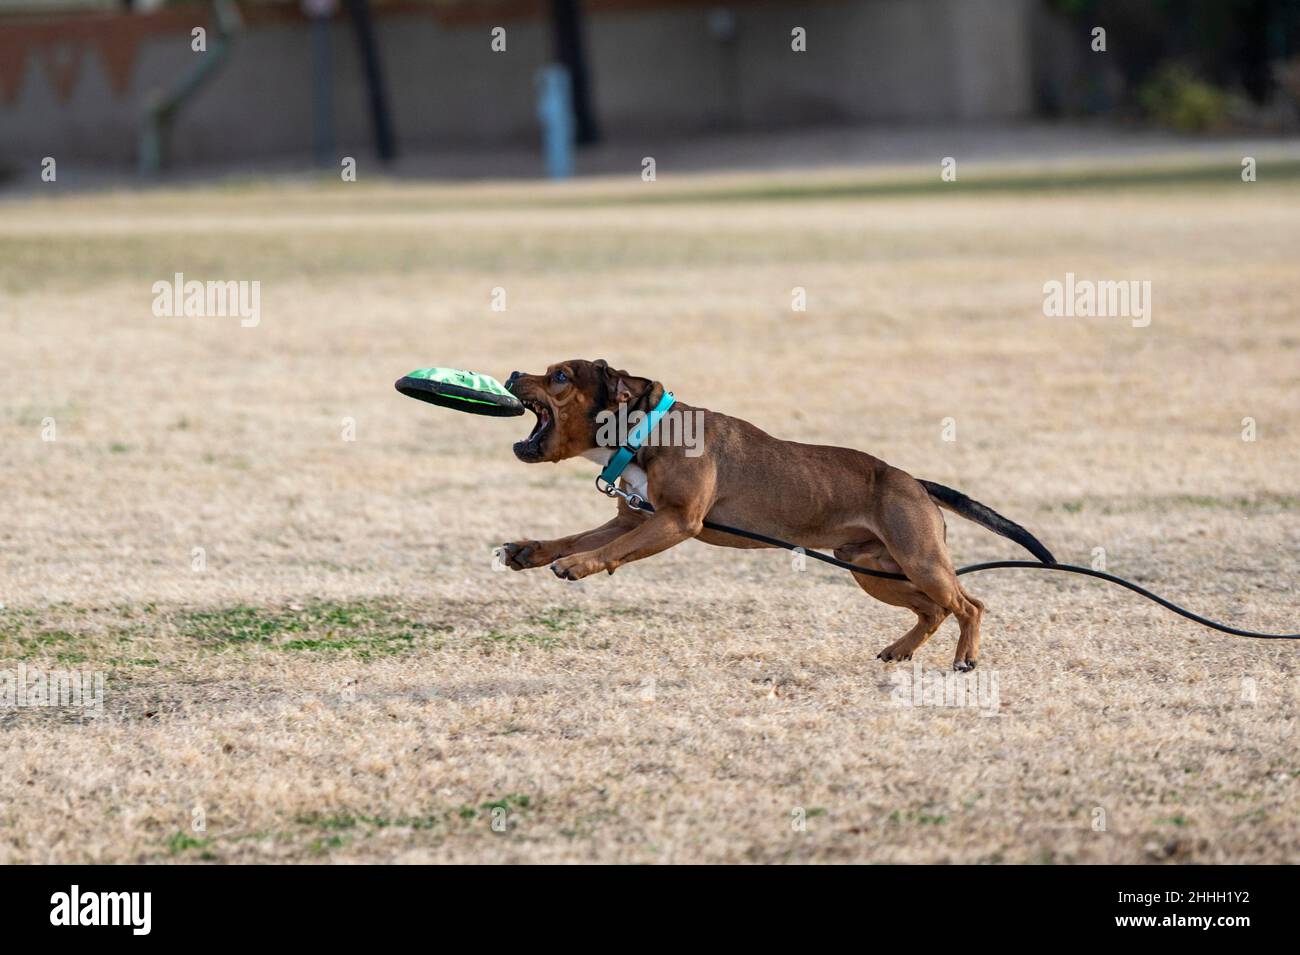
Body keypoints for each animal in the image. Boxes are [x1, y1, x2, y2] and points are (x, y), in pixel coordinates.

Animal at [499, 361, 1055, 670]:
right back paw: (900, 650)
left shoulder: (675, 522)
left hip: (919, 561)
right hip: (871, 568)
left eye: (560, 376)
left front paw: (578, 567)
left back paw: (966, 657)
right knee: (933, 611)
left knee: (969, 604)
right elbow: (579, 536)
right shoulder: (635, 518)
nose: (511, 374)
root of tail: (915, 482)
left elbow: (607, 550)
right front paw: (530, 551)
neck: (643, 429)